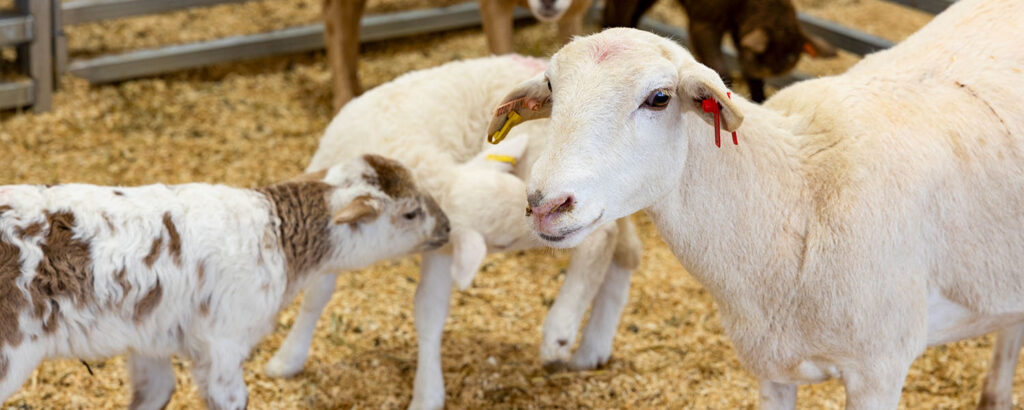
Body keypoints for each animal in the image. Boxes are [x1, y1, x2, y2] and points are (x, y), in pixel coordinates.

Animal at [0, 154, 449, 409]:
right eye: (411, 212)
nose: (447, 226)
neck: (277, 235)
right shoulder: (224, 341)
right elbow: (231, 399)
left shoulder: (149, 338)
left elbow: (154, 393)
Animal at [261, 55, 642, 410]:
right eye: (502, 242)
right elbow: (316, 295)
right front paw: (287, 358)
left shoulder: (441, 245)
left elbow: (428, 313)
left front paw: (426, 393)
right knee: (625, 247)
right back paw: (593, 347)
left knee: (602, 238)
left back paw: (560, 331)